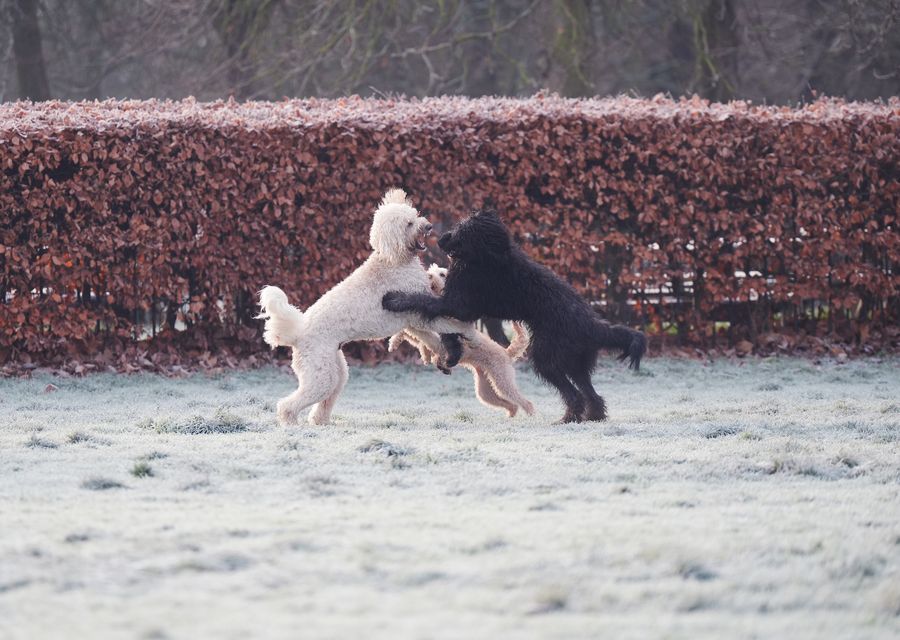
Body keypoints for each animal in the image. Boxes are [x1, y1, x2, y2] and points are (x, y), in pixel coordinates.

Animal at [258, 190, 474, 424]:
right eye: (409, 224)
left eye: (415, 215)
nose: (428, 226)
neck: (393, 260)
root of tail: (297, 334)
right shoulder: (416, 311)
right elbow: (446, 324)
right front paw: (465, 331)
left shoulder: (412, 319)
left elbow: (432, 338)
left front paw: (443, 354)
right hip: (320, 373)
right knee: (288, 405)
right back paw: (291, 425)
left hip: (335, 369)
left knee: (326, 398)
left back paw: (321, 423)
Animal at [388, 264, 536, 418]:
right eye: (430, 272)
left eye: (442, 274)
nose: (429, 276)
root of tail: (506, 352)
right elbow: (407, 334)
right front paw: (395, 343)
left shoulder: (433, 333)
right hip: (485, 392)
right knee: (512, 405)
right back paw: (511, 416)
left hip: (503, 382)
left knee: (525, 402)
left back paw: (531, 417)